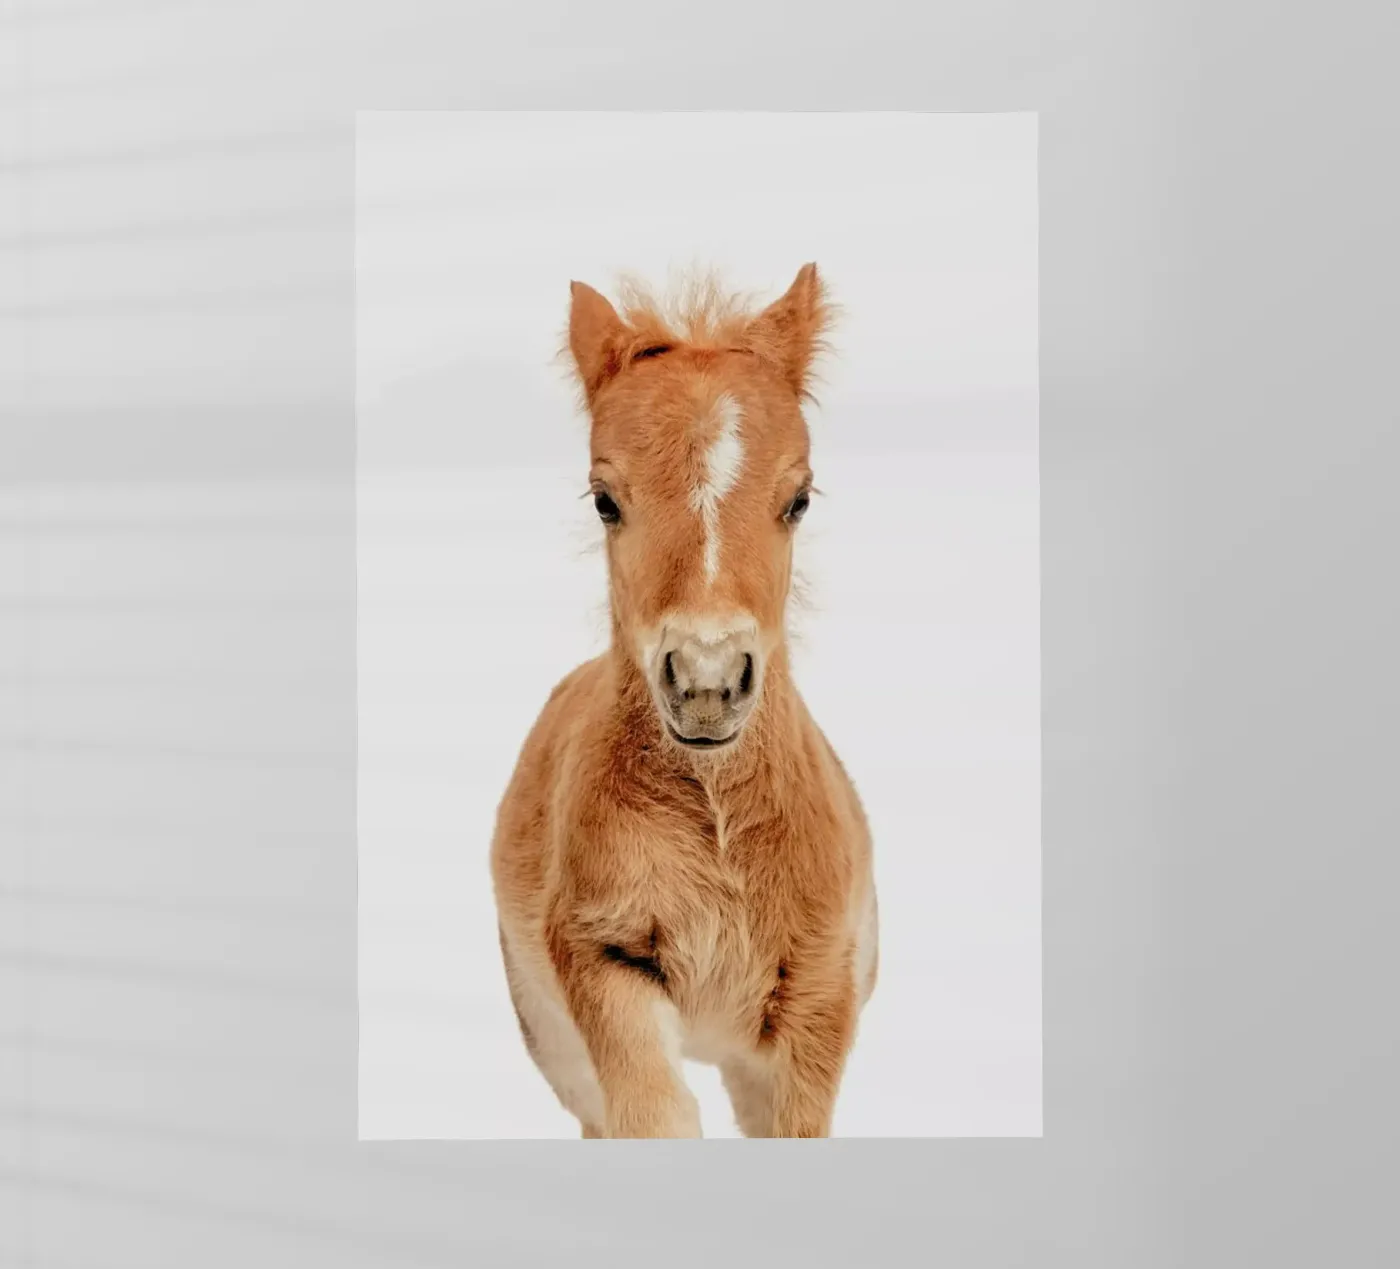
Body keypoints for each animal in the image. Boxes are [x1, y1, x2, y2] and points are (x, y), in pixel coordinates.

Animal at [490, 263, 878, 1138]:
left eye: (799, 497)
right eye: (605, 498)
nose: (705, 682)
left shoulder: (819, 998)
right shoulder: (603, 959)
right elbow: (654, 1117)